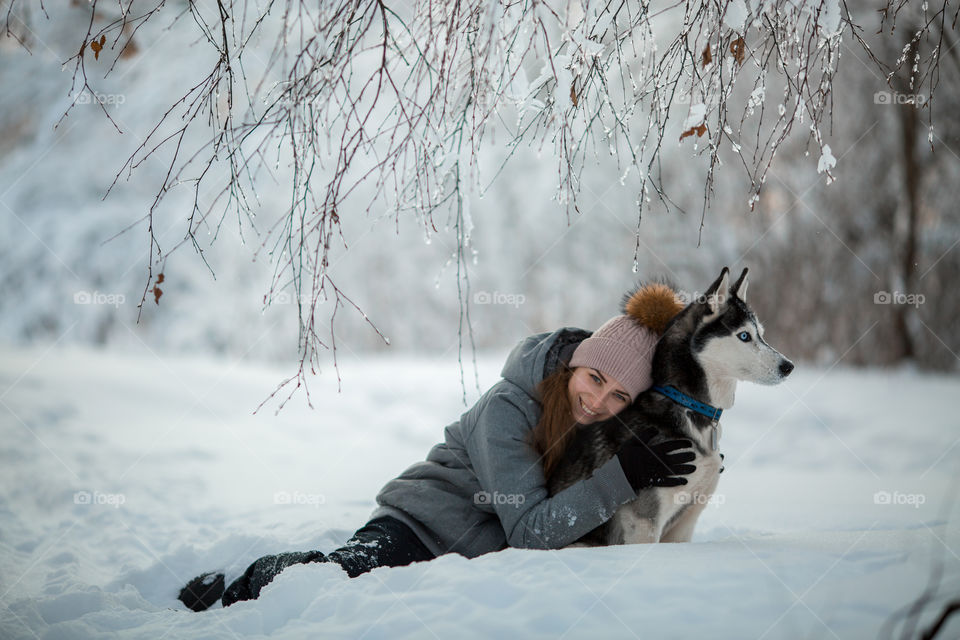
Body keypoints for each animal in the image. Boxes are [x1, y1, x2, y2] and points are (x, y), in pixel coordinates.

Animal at [548, 268, 796, 544]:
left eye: (760, 333)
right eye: (744, 336)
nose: (788, 366)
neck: (685, 403)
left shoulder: (685, 522)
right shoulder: (642, 521)